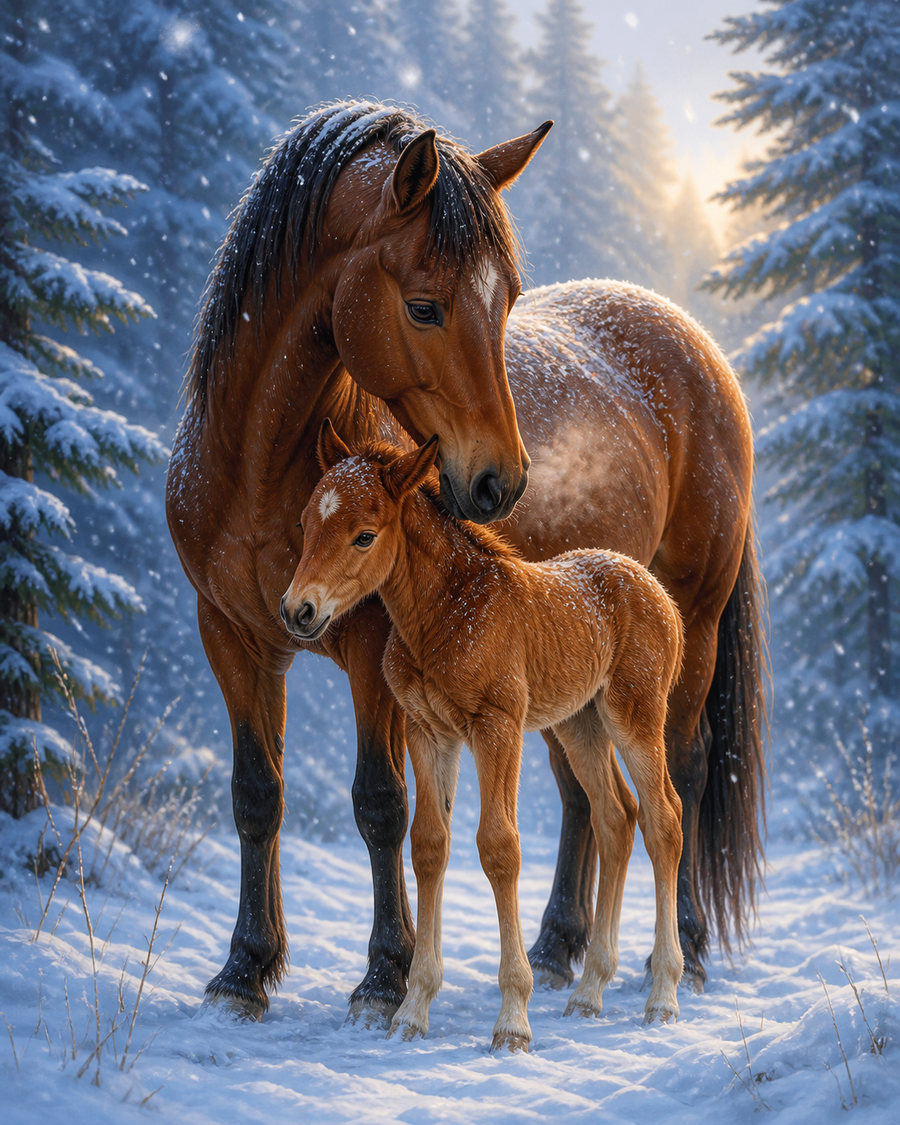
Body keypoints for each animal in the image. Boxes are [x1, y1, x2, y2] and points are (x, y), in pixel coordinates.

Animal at [282, 424, 685, 1050]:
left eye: (364, 536)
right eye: (304, 522)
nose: (298, 611)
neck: (444, 615)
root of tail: (653, 588)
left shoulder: (497, 727)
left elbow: (500, 848)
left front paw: (512, 1021)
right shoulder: (427, 732)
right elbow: (429, 845)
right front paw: (412, 1011)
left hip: (635, 715)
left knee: (664, 819)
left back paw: (662, 995)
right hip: (580, 723)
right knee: (616, 816)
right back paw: (589, 991)